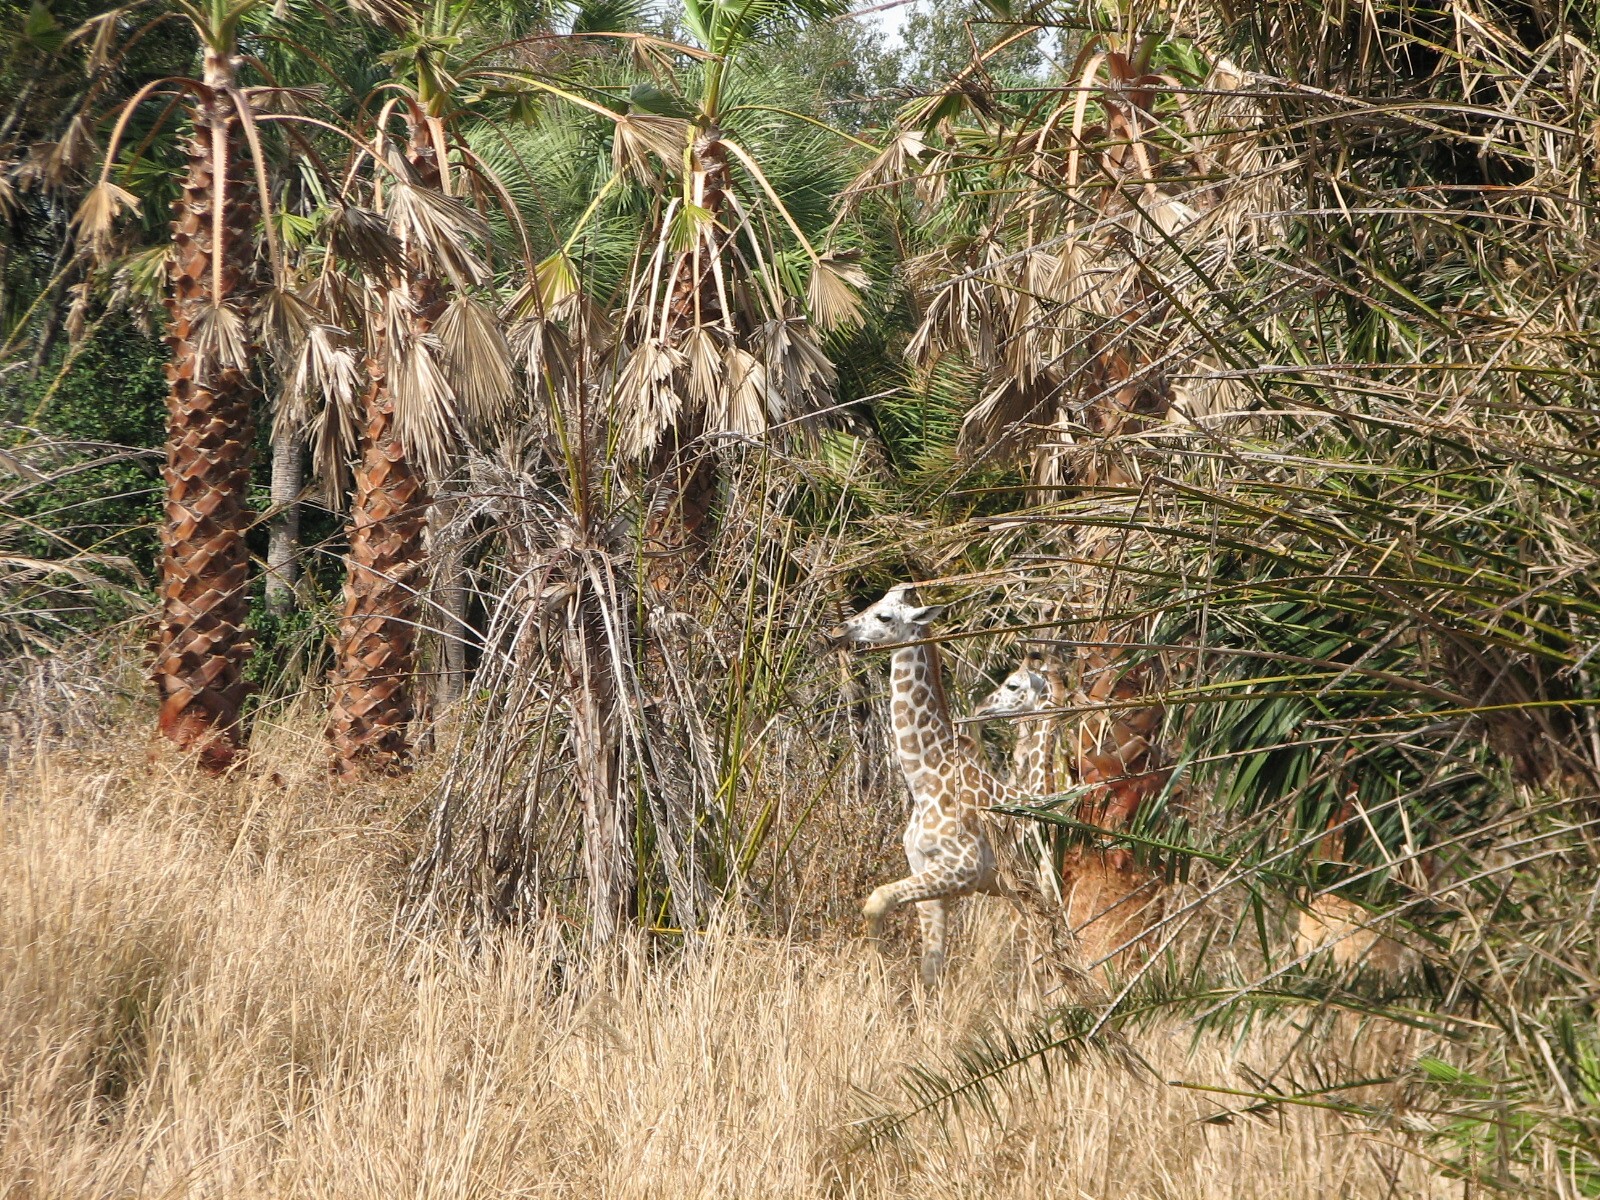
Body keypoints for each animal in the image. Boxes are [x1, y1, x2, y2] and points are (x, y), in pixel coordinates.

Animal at [837, 585, 1048, 990]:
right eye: (871, 604)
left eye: (885, 616)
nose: (842, 629)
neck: (926, 778)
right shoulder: (925, 871)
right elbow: (931, 966)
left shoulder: (962, 869)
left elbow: (877, 900)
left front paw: (876, 982)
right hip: (1022, 889)